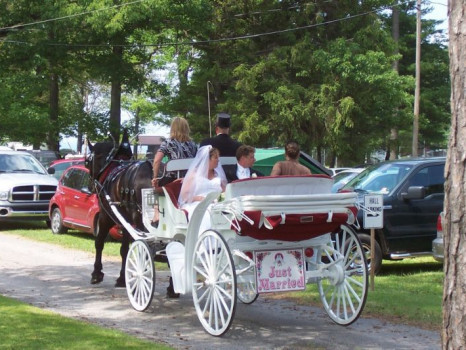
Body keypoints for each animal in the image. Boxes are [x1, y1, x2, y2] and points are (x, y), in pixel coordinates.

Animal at [85, 131, 153, 288]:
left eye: (87, 162)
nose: (90, 186)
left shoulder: (105, 217)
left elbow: (99, 242)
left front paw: (96, 273)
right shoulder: (126, 223)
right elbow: (124, 249)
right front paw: (122, 277)